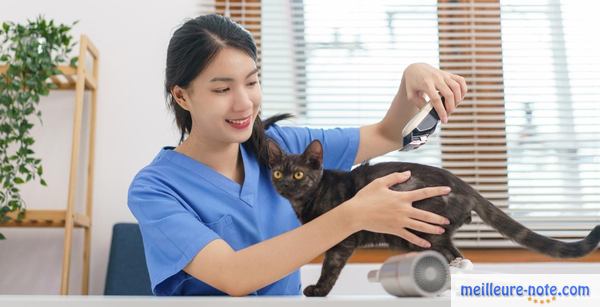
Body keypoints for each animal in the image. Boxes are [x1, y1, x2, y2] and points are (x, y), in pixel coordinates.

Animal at [268, 138, 600, 298]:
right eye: (278, 173)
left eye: (299, 174)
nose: (284, 185)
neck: (306, 200)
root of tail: (465, 186)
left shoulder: (343, 240)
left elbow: (330, 267)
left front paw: (318, 291)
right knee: (454, 256)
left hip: (423, 229)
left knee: (453, 255)